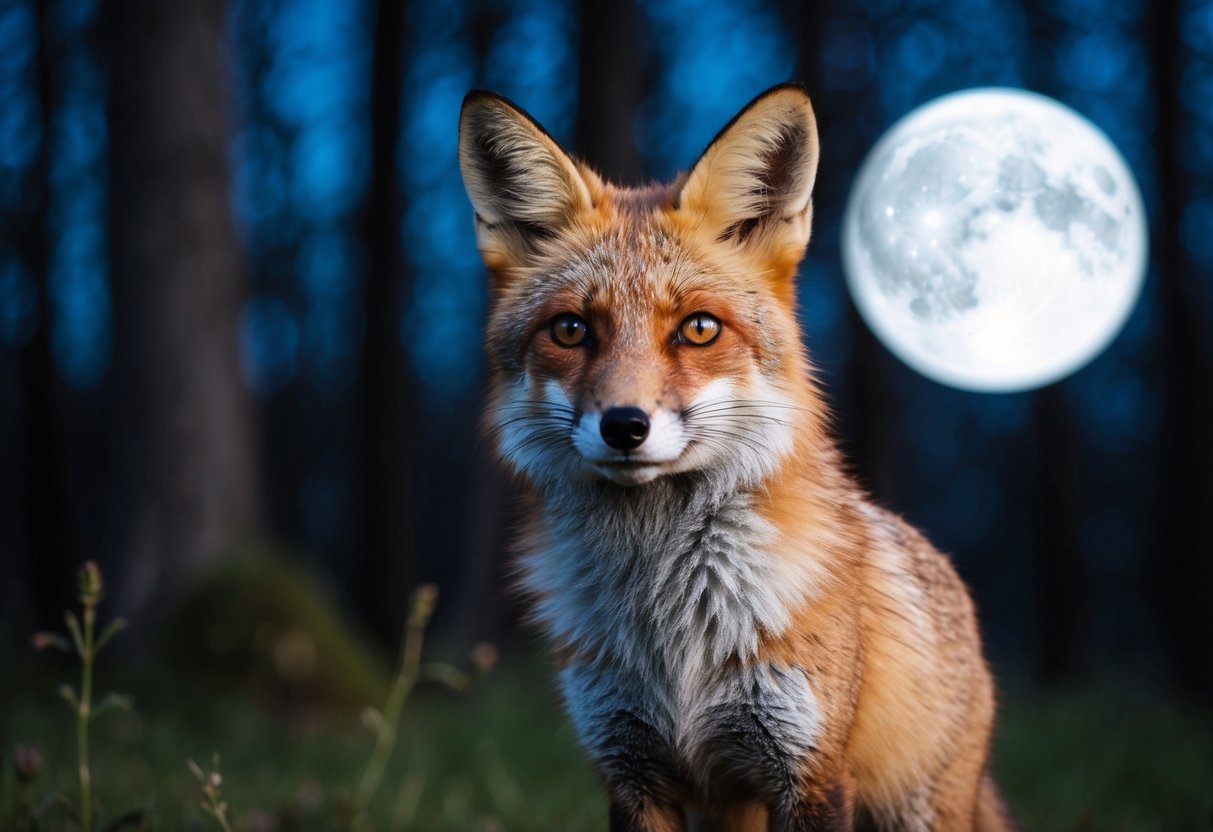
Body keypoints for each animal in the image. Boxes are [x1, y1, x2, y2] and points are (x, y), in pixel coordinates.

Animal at [457, 84, 1015, 831]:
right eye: (570, 330)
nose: (624, 426)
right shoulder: (631, 770)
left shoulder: (807, 772)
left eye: (698, 329)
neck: (670, 634)